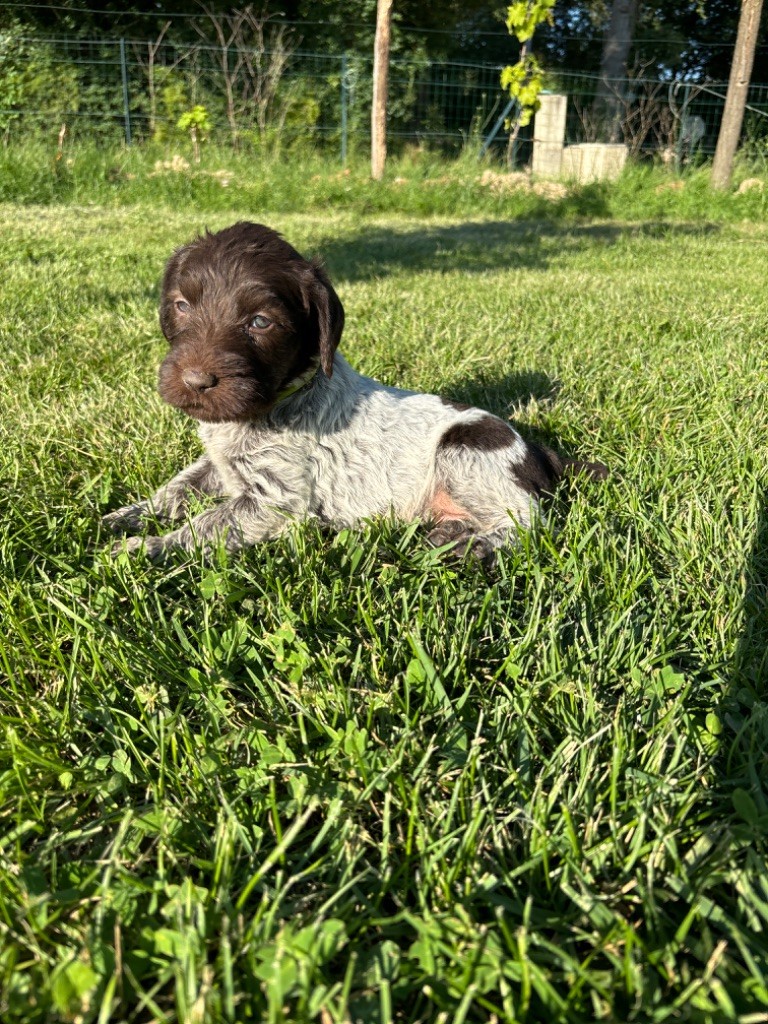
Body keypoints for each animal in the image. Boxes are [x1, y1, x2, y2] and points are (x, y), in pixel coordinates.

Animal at [103, 220, 606, 565]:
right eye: (181, 306)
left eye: (260, 322)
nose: (195, 382)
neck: (279, 398)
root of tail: (537, 449)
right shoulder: (219, 465)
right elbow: (177, 488)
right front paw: (128, 514)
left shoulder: (277, 501)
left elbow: (207, 524)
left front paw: (147, 546)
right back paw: (449, 536)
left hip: (466, 449)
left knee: (527, 524)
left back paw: (478, 544)